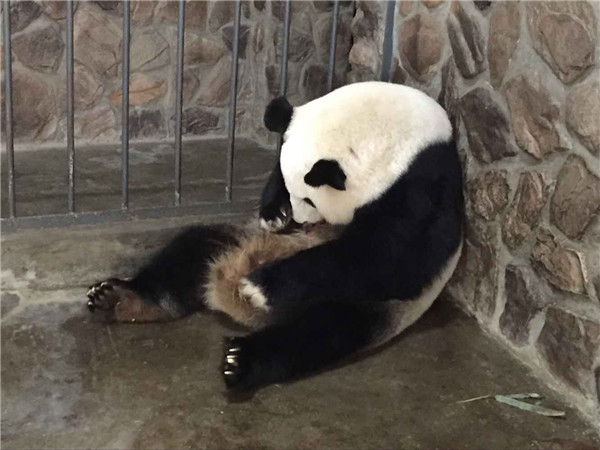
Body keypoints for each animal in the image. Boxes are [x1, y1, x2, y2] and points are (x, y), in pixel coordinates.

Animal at [85, 81, 464, 390]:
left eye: (310, 199)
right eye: (288, 185)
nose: (299, 221)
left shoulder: (422, 185)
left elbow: (393, 257)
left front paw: (259, 286)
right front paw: (273, 212)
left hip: (367, 304)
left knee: (320, 332)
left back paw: (241, 361)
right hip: (233, 239)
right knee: (191, 250)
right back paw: (120, 299)